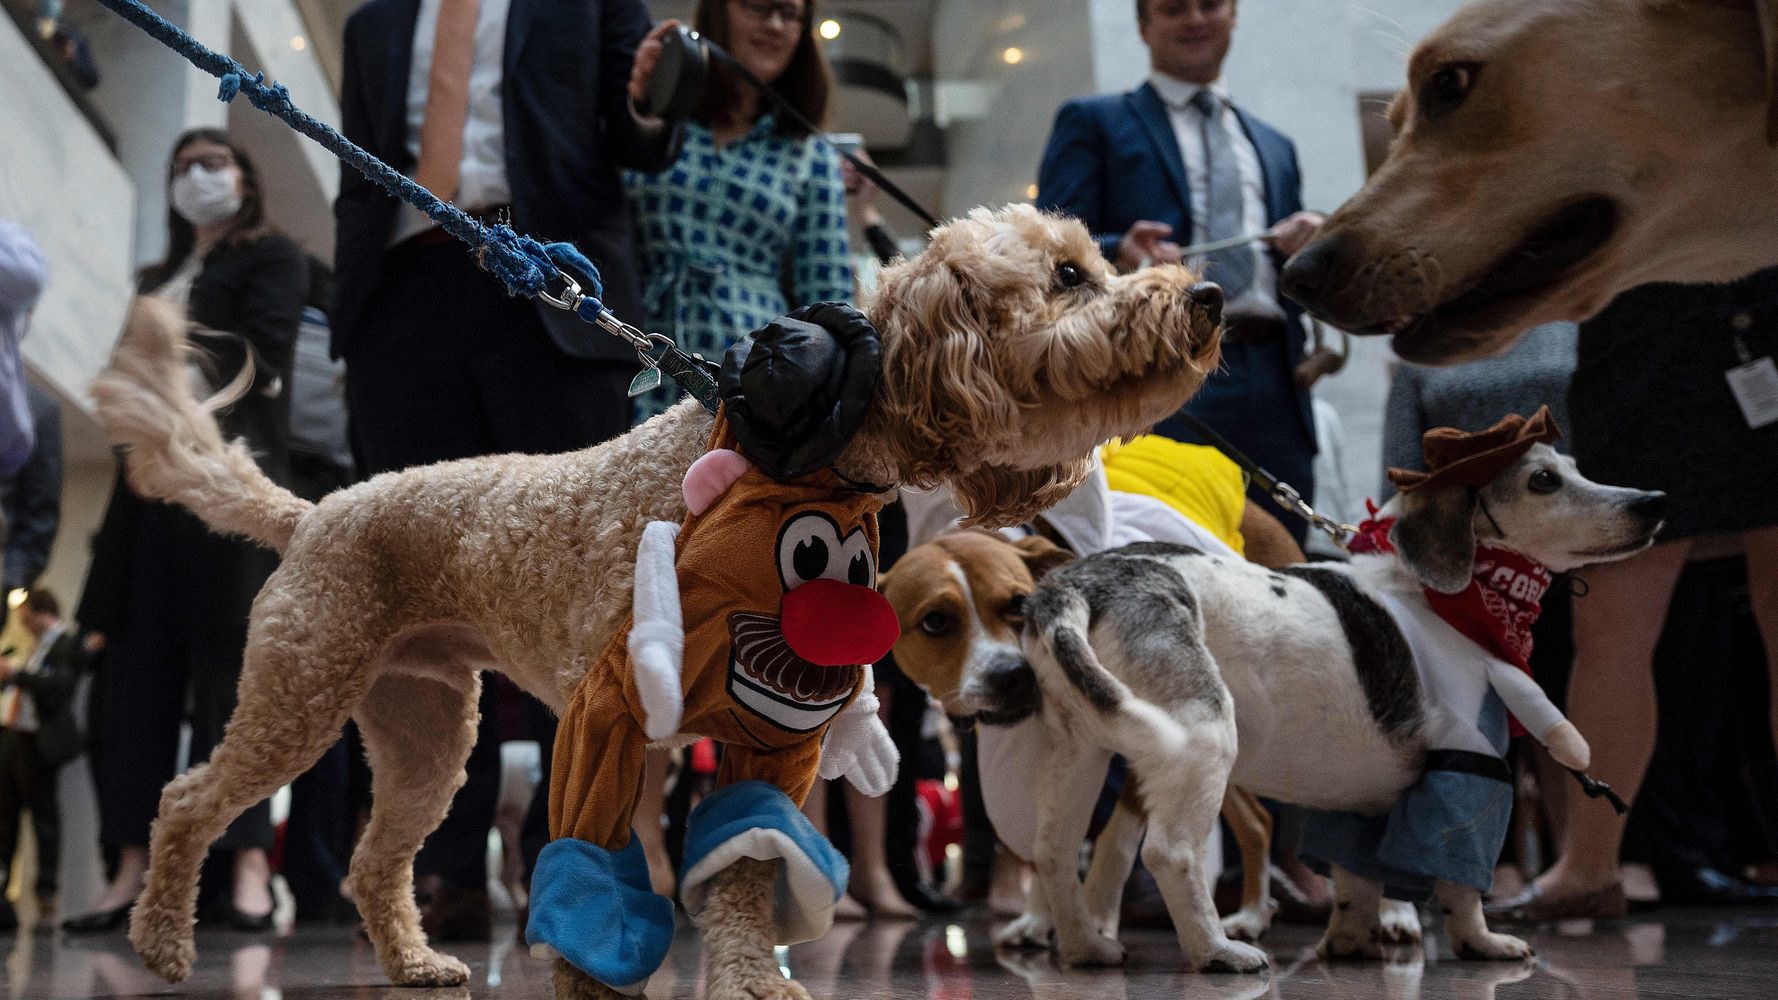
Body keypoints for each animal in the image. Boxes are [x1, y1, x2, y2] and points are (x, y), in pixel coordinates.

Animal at [93, 204, 1223, 996]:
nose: (1208, 297)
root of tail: (315, 512)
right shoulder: (611, 719)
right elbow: (595, 863)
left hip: (424, 729)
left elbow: (744, 869)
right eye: (1070, 274)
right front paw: (591, 978)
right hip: (302, 690)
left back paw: (411, 962)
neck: (784, 461)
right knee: (187, 799)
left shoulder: (776, 739)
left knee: (376, 861)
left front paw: (752, 981)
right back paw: (161, 942)